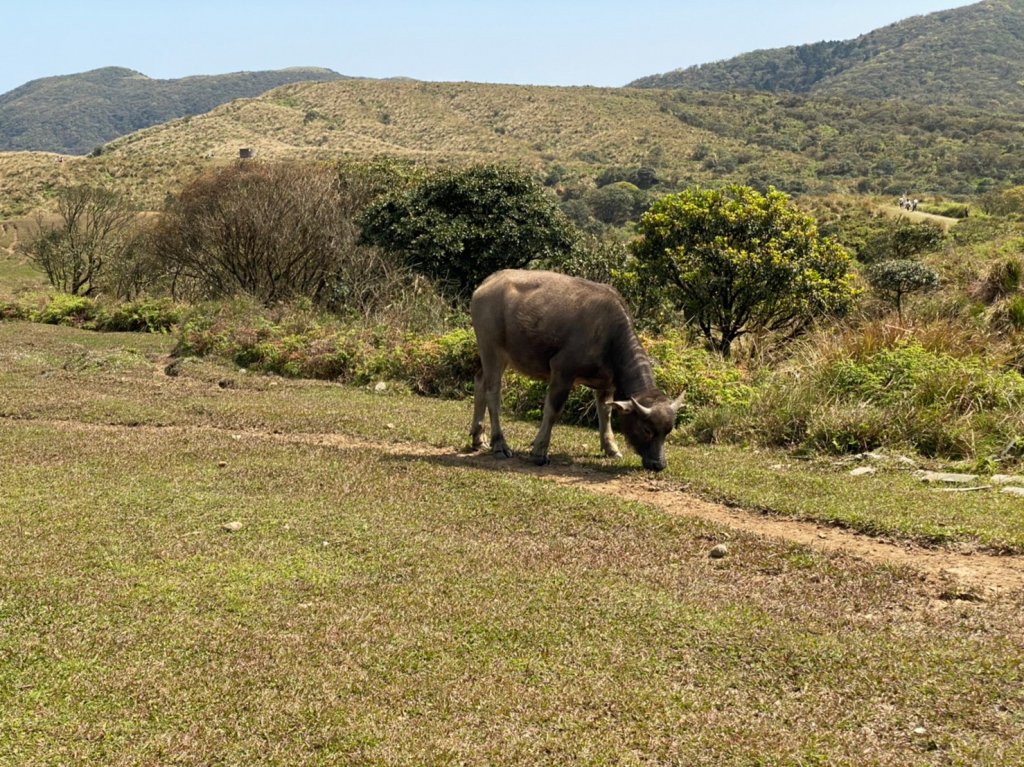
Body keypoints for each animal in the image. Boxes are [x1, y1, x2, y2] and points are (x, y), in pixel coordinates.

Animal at [468, 268, 684, 473]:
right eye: (647, 429)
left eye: (668, 431)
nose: (658, 464)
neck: (608, 336)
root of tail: (487, 283)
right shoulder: (562, 371)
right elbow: (553, 410)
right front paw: (539, 452)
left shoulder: (606, 384)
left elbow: (605, 412)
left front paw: (611, 448)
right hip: (491, 349)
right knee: (493, 392)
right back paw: (499, 444)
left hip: (498, 355)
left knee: (479, 381)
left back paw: (478, 438)